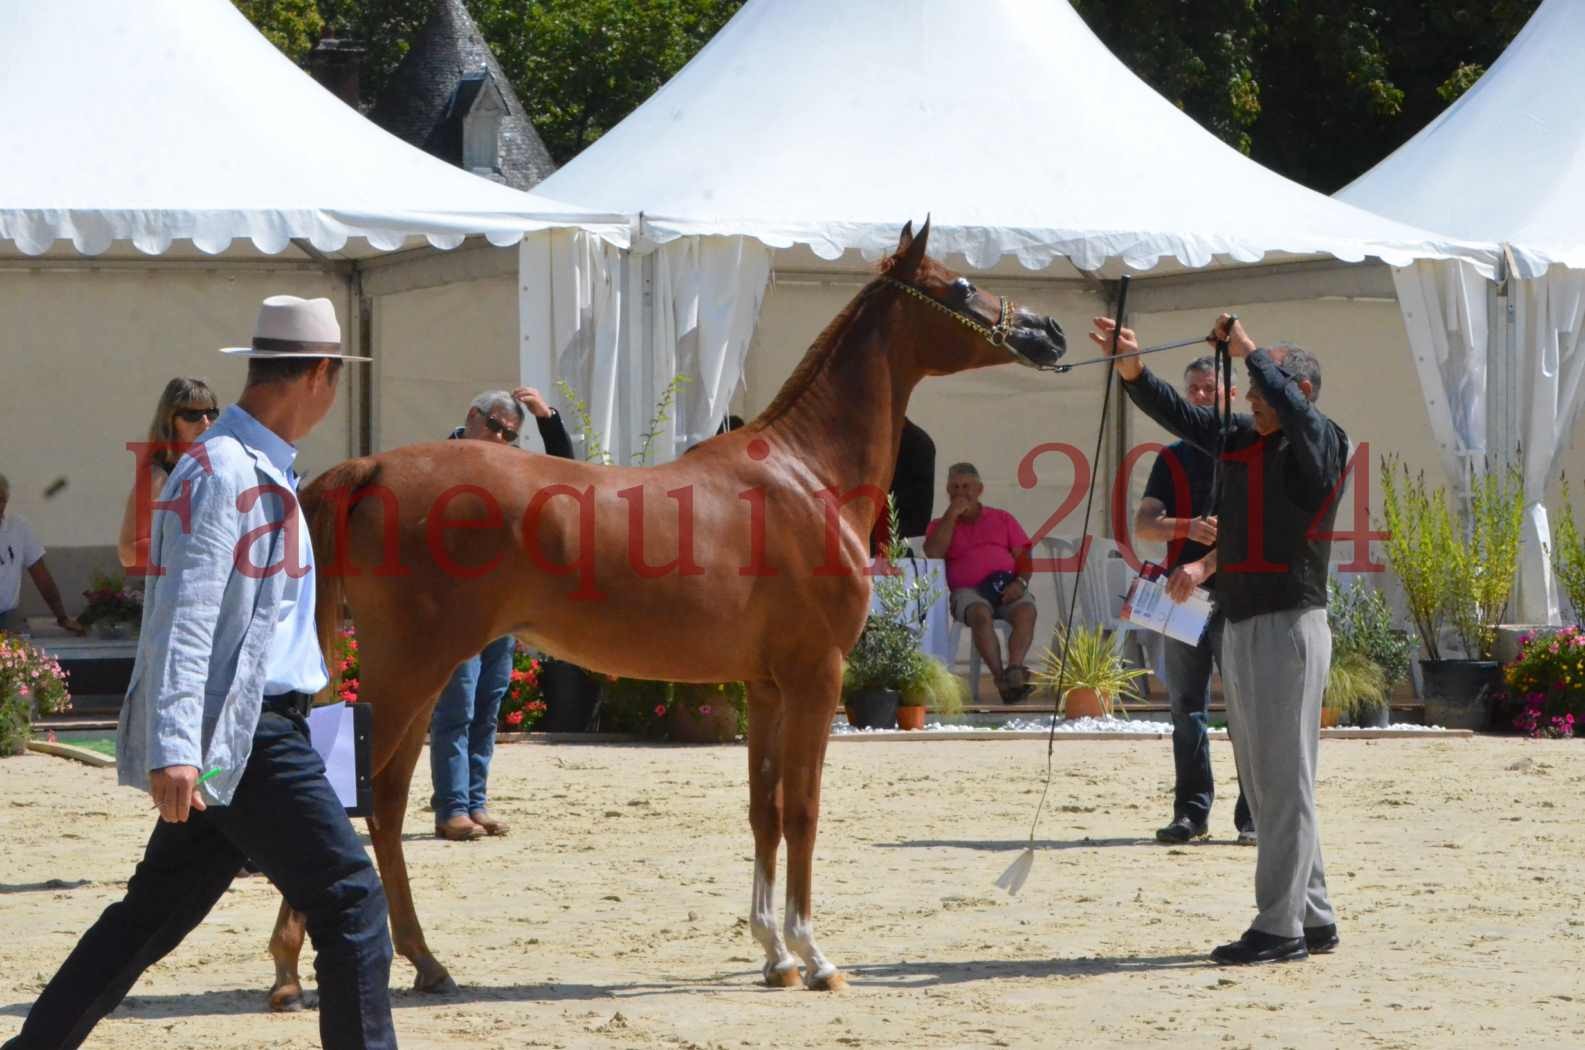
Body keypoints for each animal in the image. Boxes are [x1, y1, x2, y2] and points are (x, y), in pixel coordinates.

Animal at [269, 220, 1065, 1002]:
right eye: (957, 285)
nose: (1049, 330)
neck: (806, 473)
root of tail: (373, 466)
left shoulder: (766, 686)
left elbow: (764, 810)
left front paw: (773, 955)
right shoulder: (817, 675)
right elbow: (803, 810)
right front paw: (815, 958)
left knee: (379, 798)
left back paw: (393, 962)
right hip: (413, 669)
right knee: (363, 795)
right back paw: (331, 965)